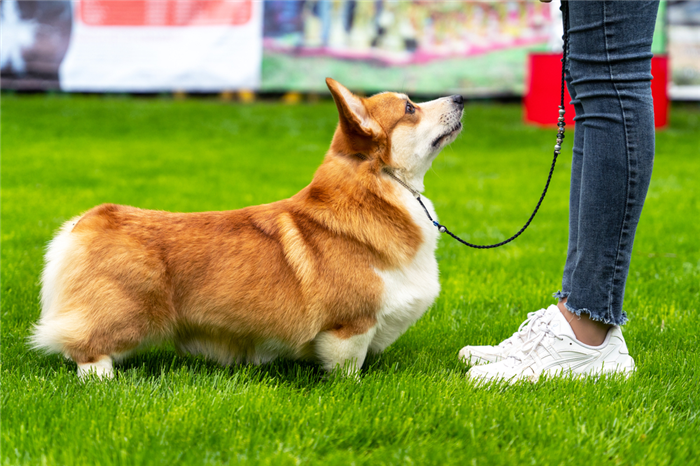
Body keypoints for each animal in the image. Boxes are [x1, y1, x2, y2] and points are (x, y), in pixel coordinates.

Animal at [31, 79, 464, 378]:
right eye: (409, 108)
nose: (461, 98)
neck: (379, 188)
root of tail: (87, 220)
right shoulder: (350, 326)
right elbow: (347, 368)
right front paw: (353, 389)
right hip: (127, 313)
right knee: (86, 350)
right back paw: (105, 383)